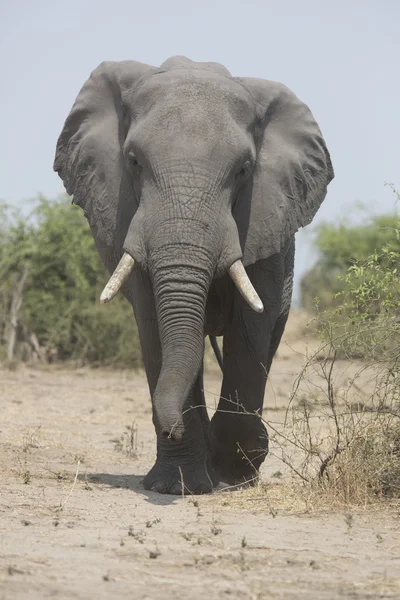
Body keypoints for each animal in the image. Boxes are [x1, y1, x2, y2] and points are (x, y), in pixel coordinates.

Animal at [54, 56, 334, 494]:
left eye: (244, 169)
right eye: (133, 161)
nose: (172, 430)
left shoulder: (265, 214)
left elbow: (251, 326)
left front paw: (233, 473)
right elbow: (154, 320)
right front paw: (177, 485)